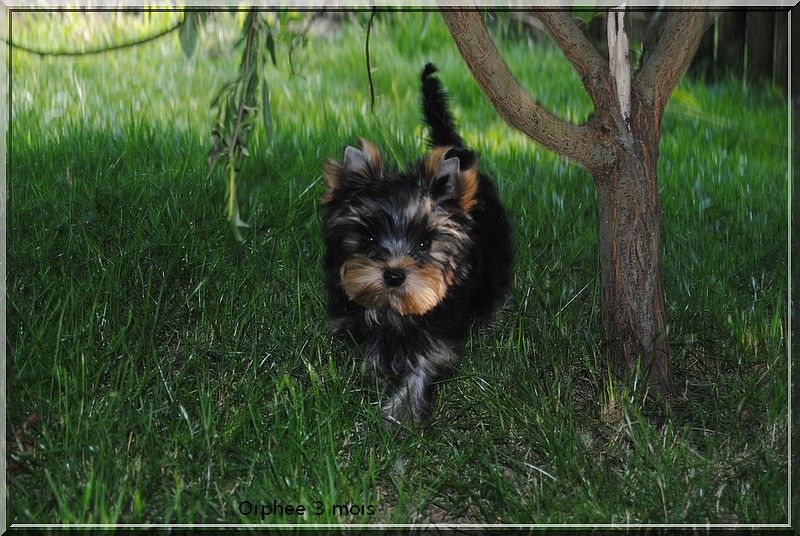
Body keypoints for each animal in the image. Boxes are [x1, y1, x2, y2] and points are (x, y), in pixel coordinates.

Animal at [320, 63, 512, 422]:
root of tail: (455, 149)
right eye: (369, 237)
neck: (395, 310)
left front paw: (401, 415)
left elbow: (424, 365)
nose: (394, 275)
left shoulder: (437, 332)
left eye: (424, 244)